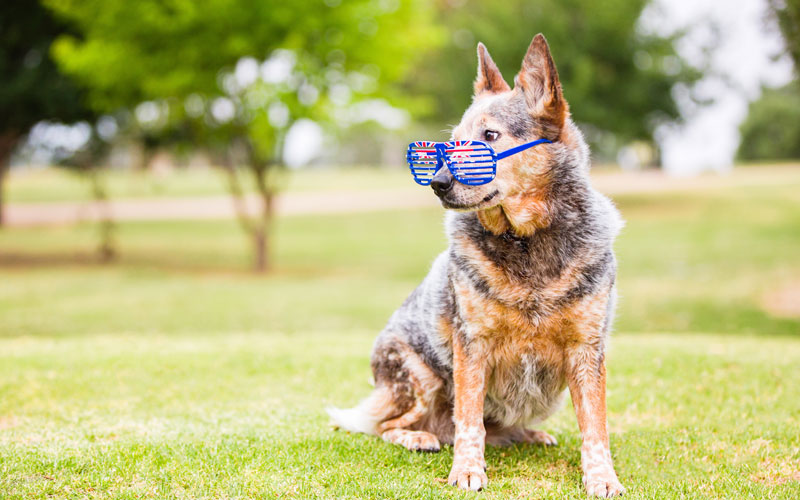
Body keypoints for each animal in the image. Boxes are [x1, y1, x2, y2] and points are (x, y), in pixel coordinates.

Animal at [328, 34, 628, 496]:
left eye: (489, 136)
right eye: (452, 142)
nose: (437, 183)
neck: (526, 242)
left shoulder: (586, 349)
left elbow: (595, 425)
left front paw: (601, 477)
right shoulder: (472, 345)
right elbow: (468, 420)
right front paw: (467, 471)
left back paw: (527, 434)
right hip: (419, 377)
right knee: (385, 425)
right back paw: (419, 437)